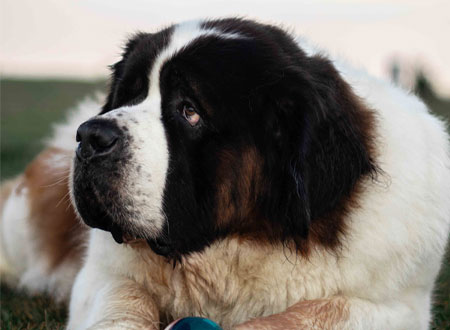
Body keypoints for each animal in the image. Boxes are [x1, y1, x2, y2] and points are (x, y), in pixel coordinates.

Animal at [0, 18, 450, 330]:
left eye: (189, 110)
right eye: (127, 96)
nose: (92, 136)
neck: (237, 241)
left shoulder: (393, 306)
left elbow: (311, 313)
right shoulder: (103, 276)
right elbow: (125, 305)